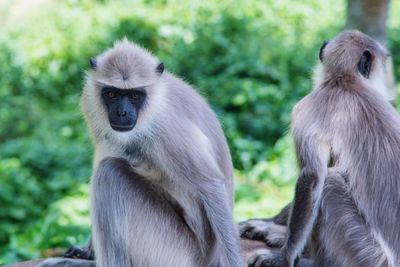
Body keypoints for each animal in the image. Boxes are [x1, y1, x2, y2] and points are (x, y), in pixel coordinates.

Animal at [38, 39, 244, 267]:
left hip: (177, 250)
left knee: (109, 174)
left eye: (135, 96)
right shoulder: (89, 101)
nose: (122, 112)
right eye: (112, 94)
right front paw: (86, 251)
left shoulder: (165, 124)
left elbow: (210, 185)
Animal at [239, 29, 398, 267]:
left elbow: (312, 177)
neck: (346, 81)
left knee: (329, 183)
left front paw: (283, 258)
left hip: (368, 256)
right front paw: (267, 223)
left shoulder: (306, 108)